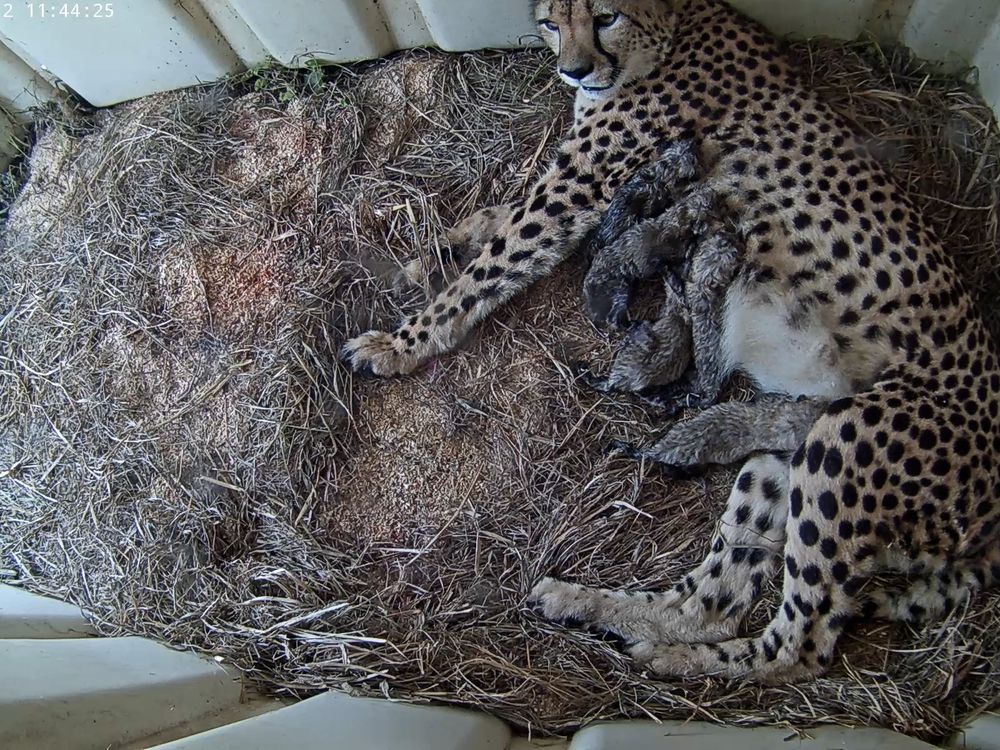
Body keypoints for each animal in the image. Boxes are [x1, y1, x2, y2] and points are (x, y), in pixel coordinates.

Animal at [342, 0, 1000, 684]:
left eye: (606, 17)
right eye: (551, 22)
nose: (574, 71)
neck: (671, 32)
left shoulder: (580, 186)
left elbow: (493, 263)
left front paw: (402, 342)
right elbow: (495, 223)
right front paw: (429, 252)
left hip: (847, 441)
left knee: (802, 644)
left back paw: (673, 653)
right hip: (786, 448)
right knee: (713, 601)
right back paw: (596, 608)